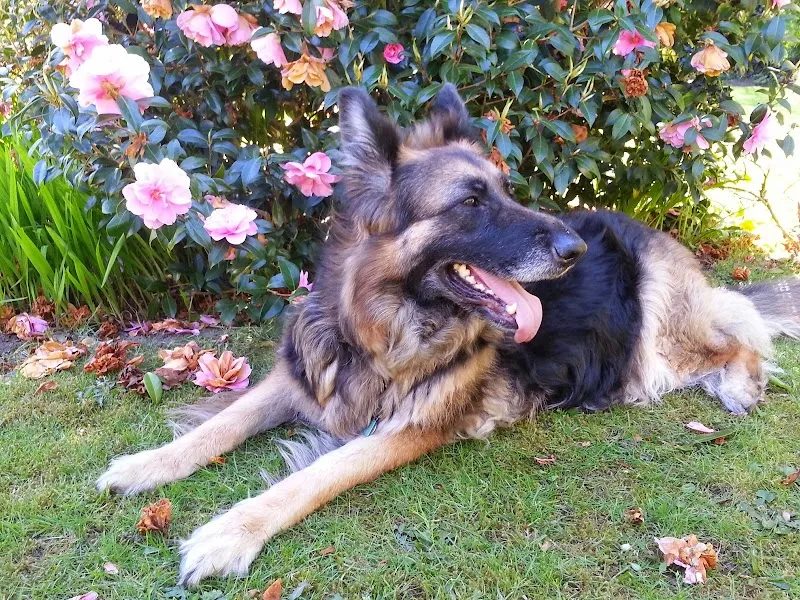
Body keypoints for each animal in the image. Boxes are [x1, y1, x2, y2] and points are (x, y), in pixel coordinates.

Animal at [96, 84, 800, 585]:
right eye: (470, 201)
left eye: (508, 192)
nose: (572, 251)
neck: (385, 325)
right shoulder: (304, 377)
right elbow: (221, 424)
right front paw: (145, 464)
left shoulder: (407, 426)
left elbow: (312, 477)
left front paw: (228, 533)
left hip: (657, 340)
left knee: (735, 336)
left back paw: (739, 385)